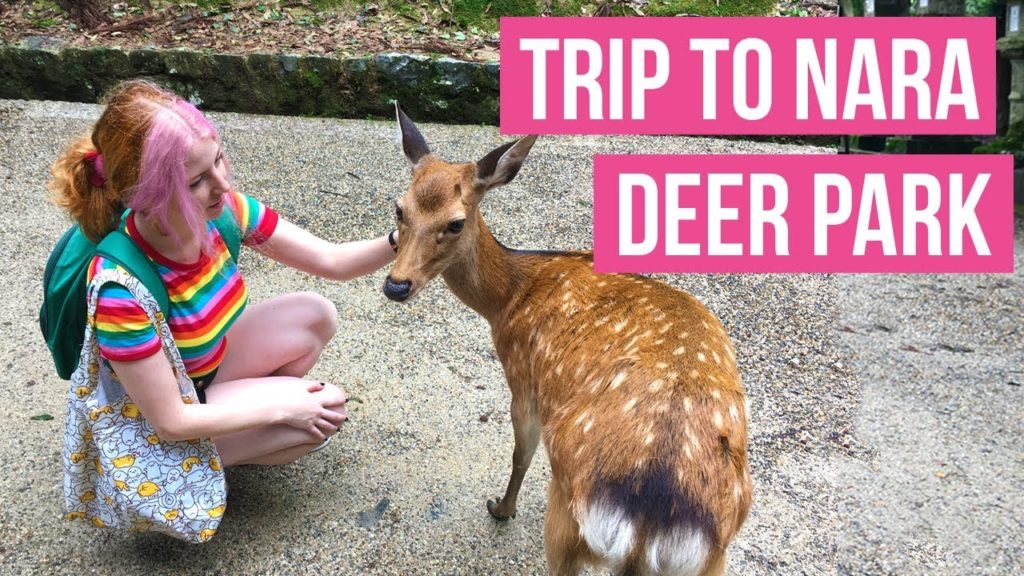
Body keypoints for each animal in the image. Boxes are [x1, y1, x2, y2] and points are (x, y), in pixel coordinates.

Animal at [383, 106, 752, 576]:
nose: (396, 285)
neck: (509, 299)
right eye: (399, 209)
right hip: (715, 558)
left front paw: (501, 508)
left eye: (455, 222)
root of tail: (647, 528)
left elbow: (521, 453)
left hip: (567, 516)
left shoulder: (524, 378)